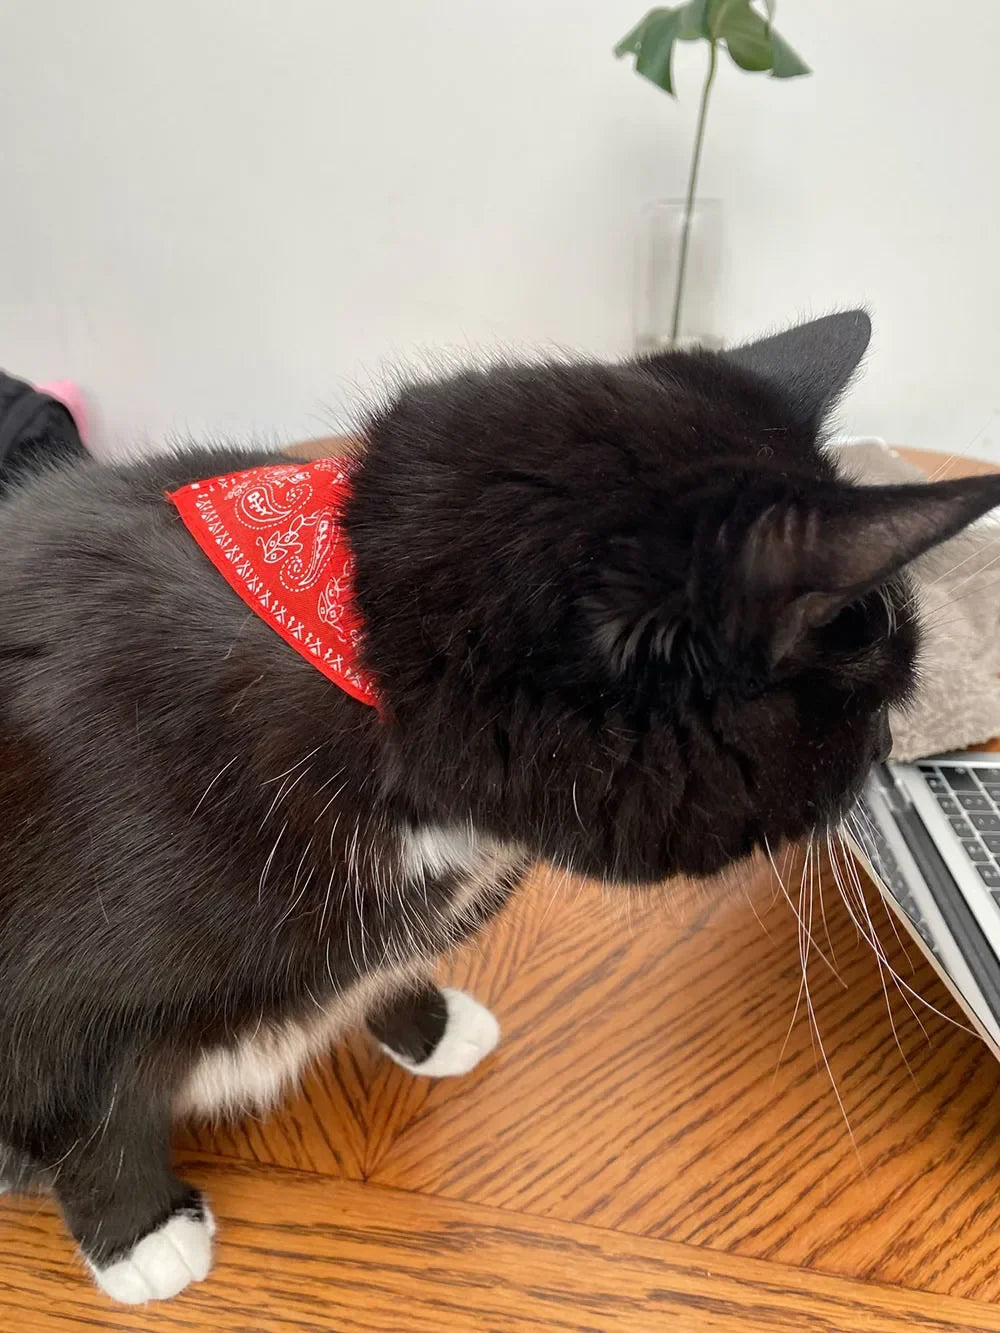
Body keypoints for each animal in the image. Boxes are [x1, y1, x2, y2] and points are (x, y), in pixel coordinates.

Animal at [1, 314, 1000, 1301]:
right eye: (872, 703)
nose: (890, 748)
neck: (360, 649)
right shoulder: (62, 995)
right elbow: (87, 1100)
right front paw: (139, 1231)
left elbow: (383, 961)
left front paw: (428, 1024)